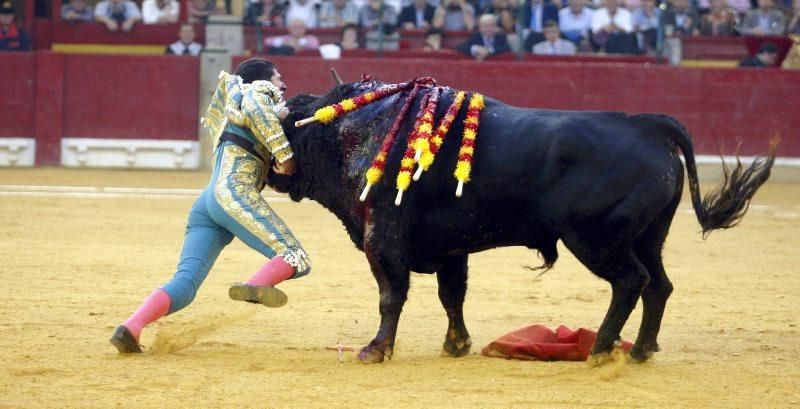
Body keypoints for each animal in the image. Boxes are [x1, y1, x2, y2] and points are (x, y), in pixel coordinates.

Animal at [268, 77, 776, 364]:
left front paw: (375, 349)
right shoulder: (453, 248)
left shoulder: (383, 238)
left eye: (285, 127)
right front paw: (457, 345)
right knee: (659, 285)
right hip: (650, 237)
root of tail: (647, 125)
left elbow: (391, 296)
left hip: (597, 241)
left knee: (631, 282)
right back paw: (640, 350)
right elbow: (452, 296)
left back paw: (600, 350)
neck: (354, 130)